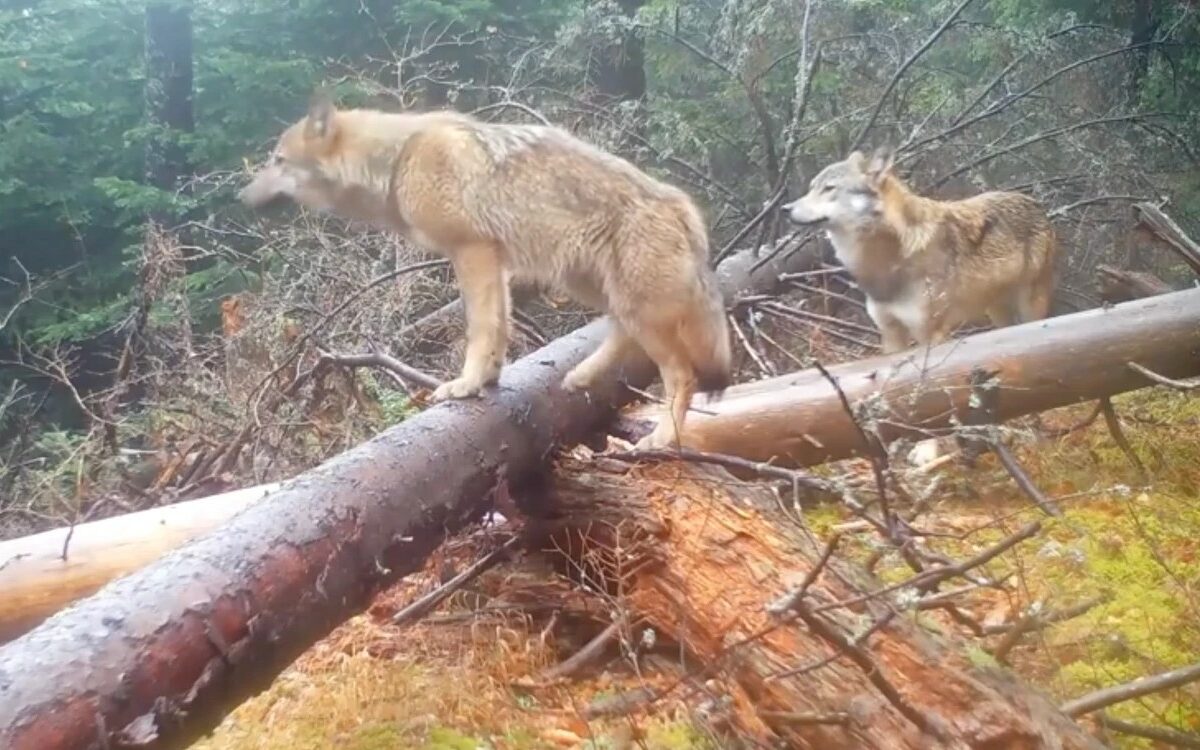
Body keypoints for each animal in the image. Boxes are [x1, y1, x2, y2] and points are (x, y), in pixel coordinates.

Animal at [236, 90, 729, 446]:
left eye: (278, 161)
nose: (239, 198)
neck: (398, 160)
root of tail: (683, 207)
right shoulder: (495, 261)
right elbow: (498, 329)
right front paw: (487, 380)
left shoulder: (472, 251)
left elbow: (481, 328)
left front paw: (466, 384)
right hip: (589, 285)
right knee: (621, 333)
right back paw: (581, 376)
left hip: (636, 307)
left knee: (681, 375)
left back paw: (663, 439)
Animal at [782, 150, 1056, 357]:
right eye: (811, 188)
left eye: (829, 188)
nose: (785, 208)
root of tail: (1034, 201)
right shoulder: (890, 333)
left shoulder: (931, 334)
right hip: (997, 313)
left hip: (1030, 308)